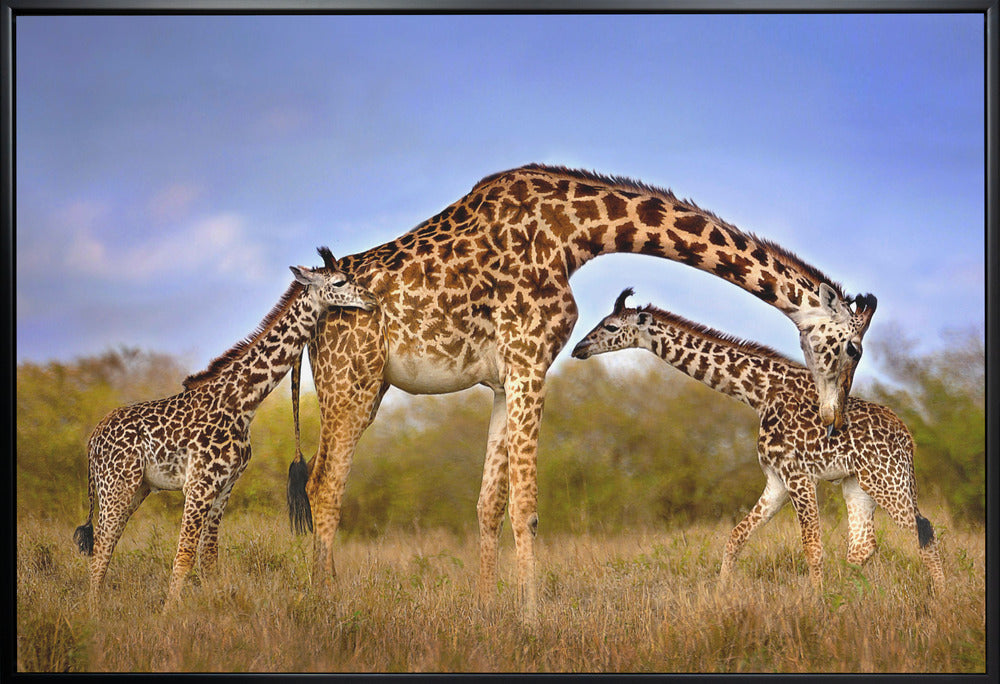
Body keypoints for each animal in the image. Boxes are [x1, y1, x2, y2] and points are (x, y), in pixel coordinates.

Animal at [73, 248, 377, 607]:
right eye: (340, 282)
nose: (371, 299)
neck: (242, 401)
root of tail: (93, 439)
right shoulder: (199, 485)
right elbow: (184, 556)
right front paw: (169, 616)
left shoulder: (225, 486)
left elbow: (209, 559)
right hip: (116, 485)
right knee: (102, 549)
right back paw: (93, 613)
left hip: (136, 488)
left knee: (106, 546)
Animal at [288, 164, 878, 622]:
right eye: (853, 349)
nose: (833, 420)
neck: (576, 231)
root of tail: (307, 310)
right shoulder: (530, 357)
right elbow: (525, 505)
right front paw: (531, 617)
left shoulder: (504, 377)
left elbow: (488, 503)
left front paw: (485, 609)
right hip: (353, 380)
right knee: (325, 485)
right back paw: (326, 606)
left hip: (363, 387)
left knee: (321, 480)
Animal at [571, 288, 944, 594]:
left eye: (611, 327)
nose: (579, 347)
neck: (759, 393)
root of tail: (907, 438)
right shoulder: (776, 480)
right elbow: (736, 536)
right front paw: (720, 596)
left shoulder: (798, 475)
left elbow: (812, 546)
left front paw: (818, 605)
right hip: (858, 483)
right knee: (863, 546)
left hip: (887, 479)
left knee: (922, 529)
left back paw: (940, 599)